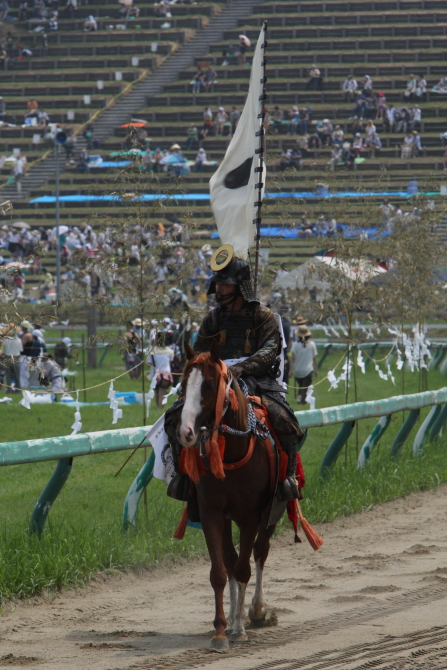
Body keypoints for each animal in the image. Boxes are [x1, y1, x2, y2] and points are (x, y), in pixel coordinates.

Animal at [178, 342, 280, 652]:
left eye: (210, 384)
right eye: (183, 385)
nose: (186, 432)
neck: (233, 453)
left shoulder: (253, 516)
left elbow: (245, 567)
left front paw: (240, 629)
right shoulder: (212, 513)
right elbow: (221, 572)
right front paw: (221, 630)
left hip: (273, 512)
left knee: (260, 551)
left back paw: (255, 611)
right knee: (231, 560)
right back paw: (237, 616)